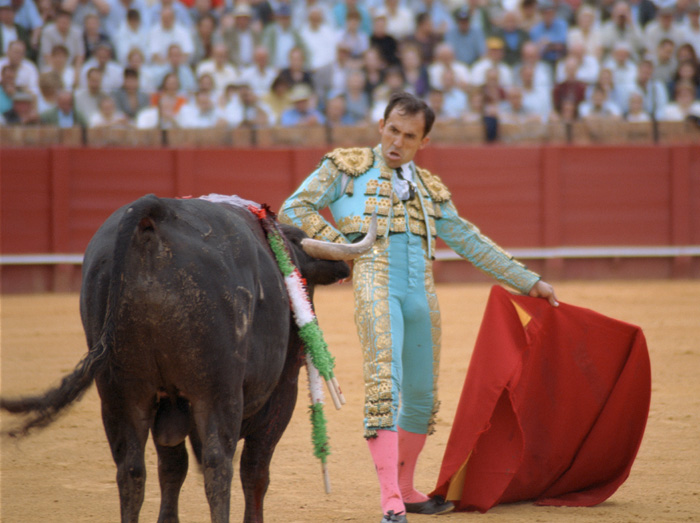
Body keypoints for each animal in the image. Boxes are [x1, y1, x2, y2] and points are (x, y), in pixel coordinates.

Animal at [1, 195, 372, 523]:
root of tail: (153, 214)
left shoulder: (164, 401)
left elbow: (172, 466)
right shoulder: (282, 393)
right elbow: (255, 471)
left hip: (119, 392)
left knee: (131, 469)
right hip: (217, 392)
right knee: (218, 465)